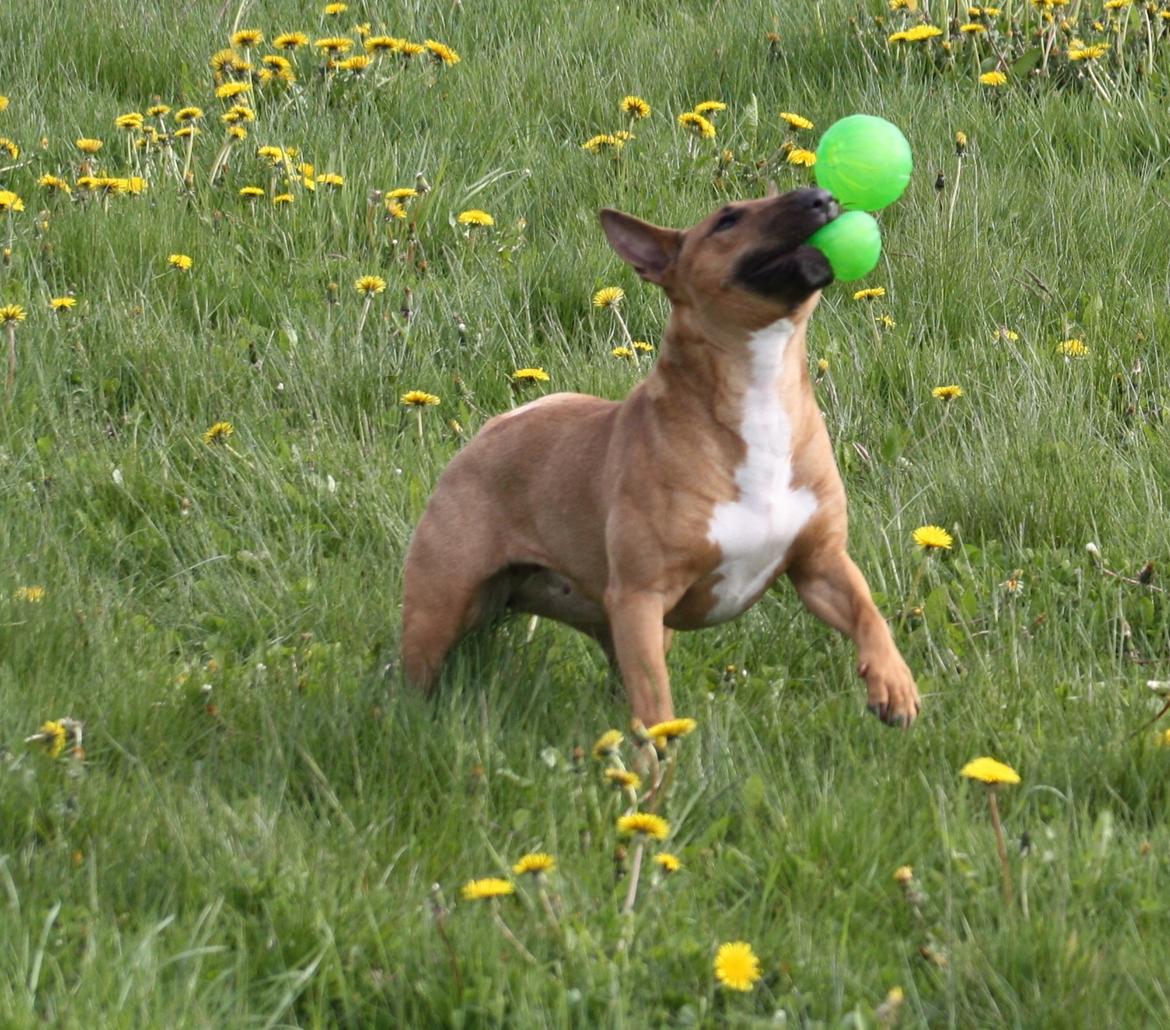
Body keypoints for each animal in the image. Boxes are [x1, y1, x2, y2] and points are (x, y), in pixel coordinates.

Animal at [402, 189, 921, 730]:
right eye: (727, 220)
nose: (821, 197)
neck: (758, 391)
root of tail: (490, 430)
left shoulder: (820, 565)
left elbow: (866, 612)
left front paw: (893, 683)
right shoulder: (640, 598)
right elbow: (656, 705)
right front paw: (661, 753)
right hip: (440, 607)